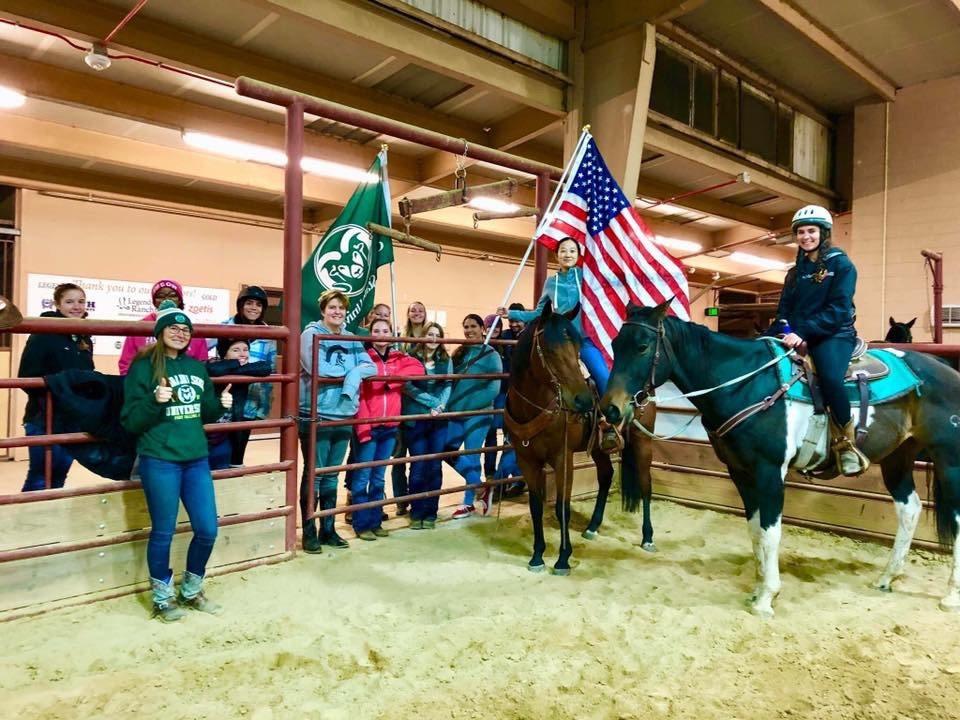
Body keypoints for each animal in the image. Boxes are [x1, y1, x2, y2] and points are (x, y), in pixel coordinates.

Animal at [506, 298, 656, 572]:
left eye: (577, 348)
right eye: (550, 350)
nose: (584, 400)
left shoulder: (562, 458)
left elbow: (562, 507)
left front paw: (563, 559)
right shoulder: (527, 460)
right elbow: (535, 506)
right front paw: (537, 556)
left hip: (643, 442)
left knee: (645, 484)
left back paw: (648, 537)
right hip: (598, 448)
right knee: (606, 476)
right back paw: (592, 527)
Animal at [604, 300, 960, 616]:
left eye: (643, 346)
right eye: (614, 343)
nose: (611, 409)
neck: (746, 383)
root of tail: (946, 370)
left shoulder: (770, 471)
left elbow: (771, 530)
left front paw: (767, 597)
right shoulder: (740, 472)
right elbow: (755, 530)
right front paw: (759, 585)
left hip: (949, 460)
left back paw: (950, 596)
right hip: (897, 458)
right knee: (909, 509)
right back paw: (887, 577)